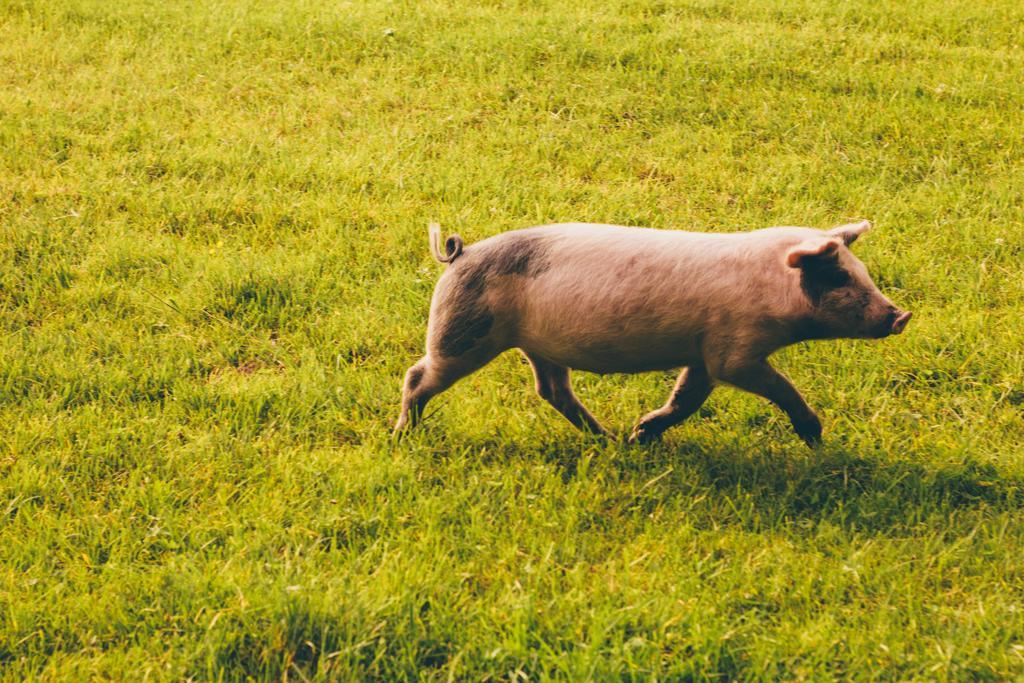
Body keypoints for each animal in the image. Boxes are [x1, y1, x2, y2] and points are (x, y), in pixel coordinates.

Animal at [391, 222, 913, 446]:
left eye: (862, 271)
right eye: (839, 277)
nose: (901, 315)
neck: (774, 289)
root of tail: (460, 254)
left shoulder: (703, 353)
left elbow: (687, 398)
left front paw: (642, 432)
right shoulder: (734, 350)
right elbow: (777, 386)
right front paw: (815, 437)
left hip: (537, 345)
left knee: (552, 390)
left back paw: (607, 438)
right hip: (464, 333)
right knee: (418, 375)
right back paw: (402, 435)